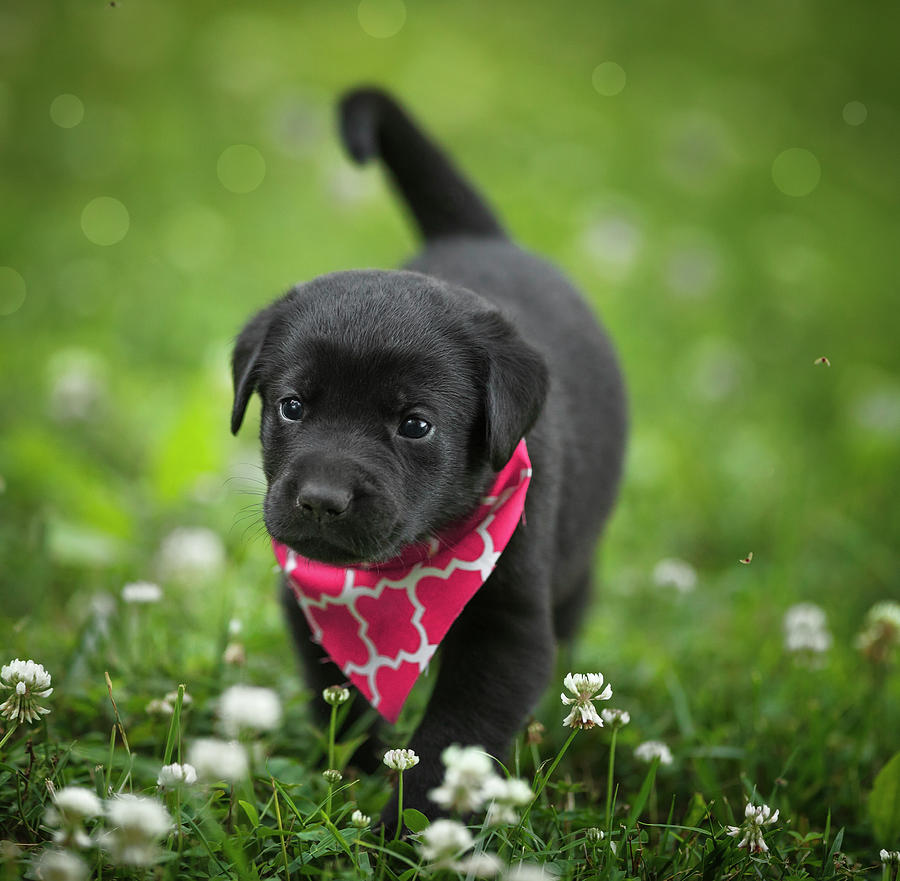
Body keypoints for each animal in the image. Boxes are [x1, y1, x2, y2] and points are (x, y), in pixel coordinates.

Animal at [230, 87, 624, 820]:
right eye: (291, 406)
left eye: (415, 425)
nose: (320, 499)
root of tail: (480, 236)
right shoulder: (307, 610)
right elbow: (343, 703)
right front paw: (351, 783)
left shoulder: (508, 634)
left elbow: (449, 745)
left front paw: (401, 829)